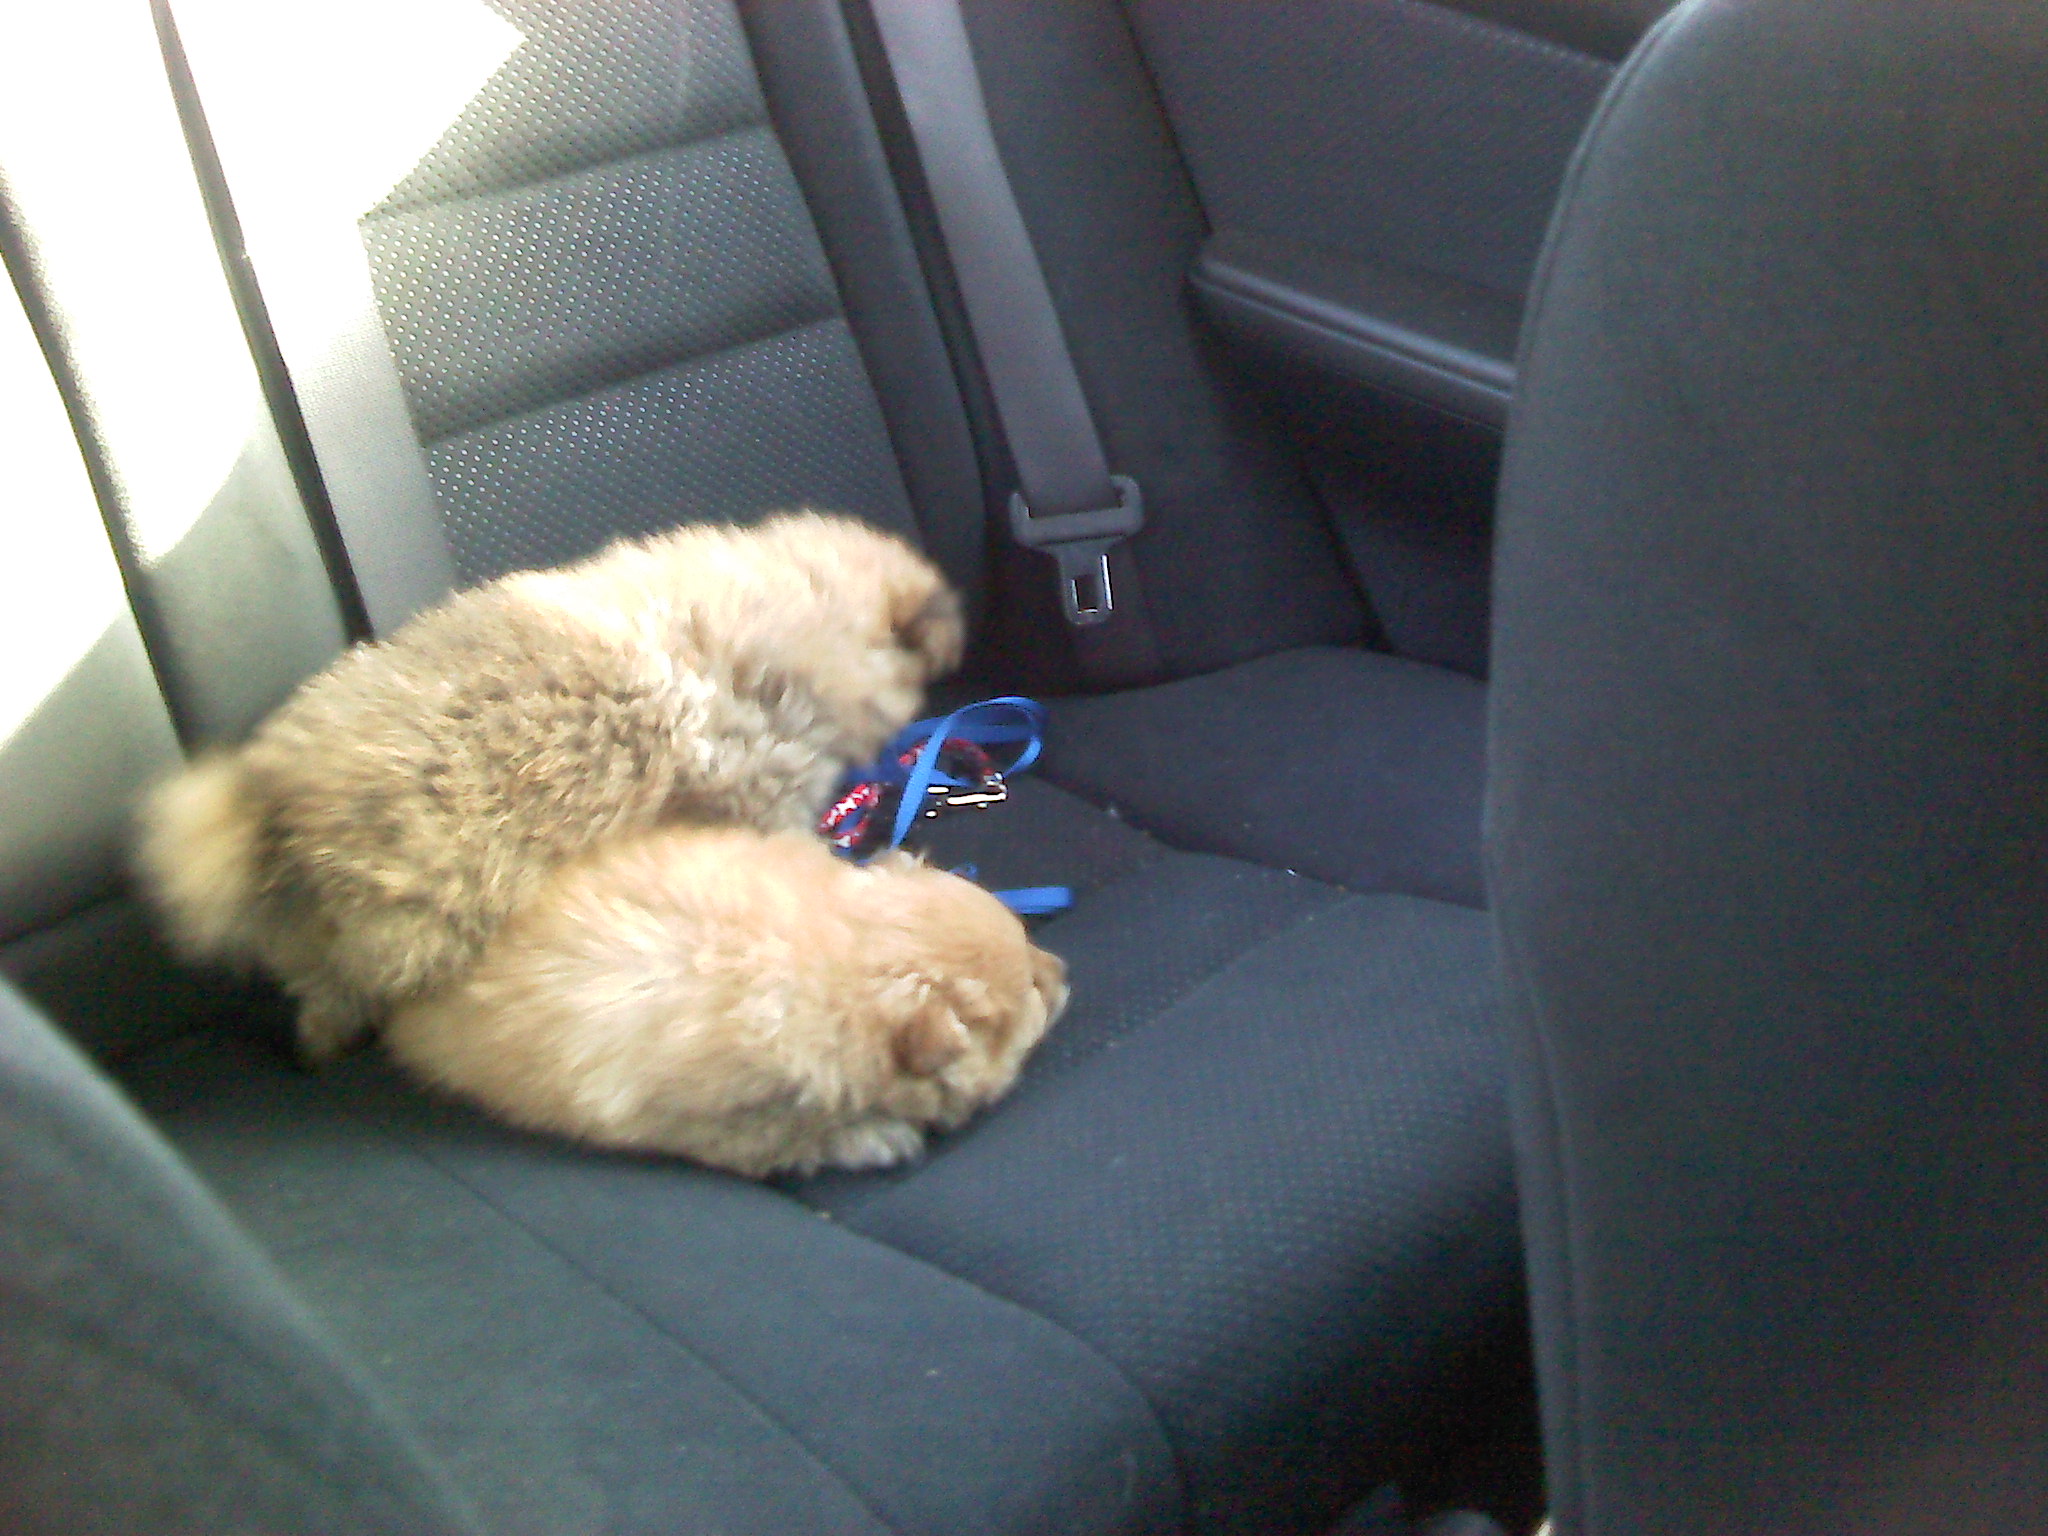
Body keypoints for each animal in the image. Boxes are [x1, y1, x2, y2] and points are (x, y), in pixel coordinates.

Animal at [382, 831, 1073, 1179]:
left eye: (1028, 937)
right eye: (1033, 998)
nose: (1065, 973)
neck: (826, 953)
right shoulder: (718, 1121)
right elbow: (794, 1139)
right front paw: (876, 1136)